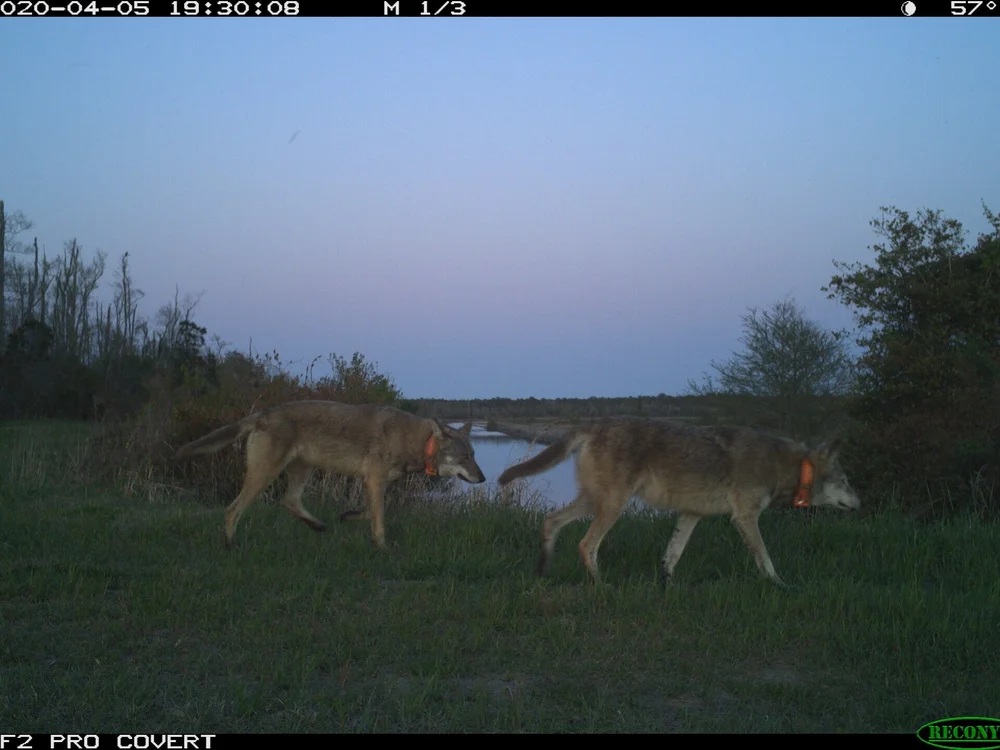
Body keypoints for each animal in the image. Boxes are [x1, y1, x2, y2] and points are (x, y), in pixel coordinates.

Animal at [175, 400, 486, 549]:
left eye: (474, 455)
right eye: (466, 457)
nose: (483, 479)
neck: (419, 442)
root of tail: (263, 414)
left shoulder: (373, 484)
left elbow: (370, 512)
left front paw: (347, 517)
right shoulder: (374, 481)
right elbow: (380, 521)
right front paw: (382, 548)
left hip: (302, 469)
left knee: (288, 501)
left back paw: (317, 525)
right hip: (265, 475)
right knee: (233, 509)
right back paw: (230, 544)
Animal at [497, 417, 860, 588]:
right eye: (845, 481)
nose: (860, 502)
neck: (787, 465)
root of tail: (593, 423)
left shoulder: (690, 514)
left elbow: (671, 556)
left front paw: (665, 586)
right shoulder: (745, 518)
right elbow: (766, 560)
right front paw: (781, 585)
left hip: (593, 502)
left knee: (550, 521)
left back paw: (542, 570)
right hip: (611, 506)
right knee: (587, 544)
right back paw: (601, 585)